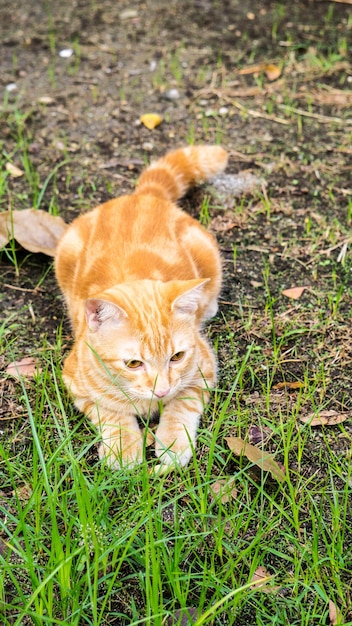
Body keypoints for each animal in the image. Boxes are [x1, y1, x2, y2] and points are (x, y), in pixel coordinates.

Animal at [55, 145, 228, 468]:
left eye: (177, 357)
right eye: (134, 363)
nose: (161, 390)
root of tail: (143, 195)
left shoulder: (204, 372)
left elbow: (181, 405)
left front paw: (172, 443)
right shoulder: (76, 385)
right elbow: (111, 413)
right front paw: (123, 449)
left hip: (208, 252)